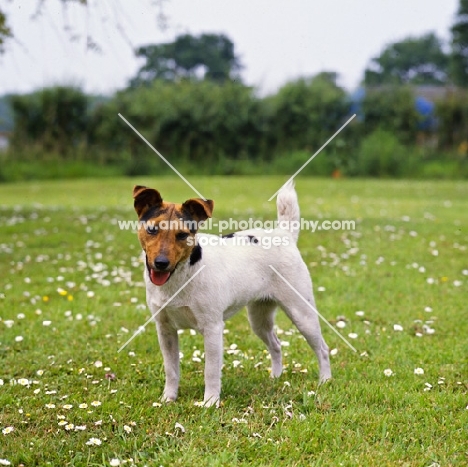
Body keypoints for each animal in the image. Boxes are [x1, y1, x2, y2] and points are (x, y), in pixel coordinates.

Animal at [133, 181, 330, 408]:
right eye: (152, 229)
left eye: (182, 235)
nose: (161, 263)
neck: (181, 275)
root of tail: (283, 234)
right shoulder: (165, 330)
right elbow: (171, 369)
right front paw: (168, 398)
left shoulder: (212, 328)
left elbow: (210, 371)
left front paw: (210, 403)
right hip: (259, 320)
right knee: (276, 345)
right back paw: (276, 377)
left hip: (302, 314)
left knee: (323, 349)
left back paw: (325, 381)